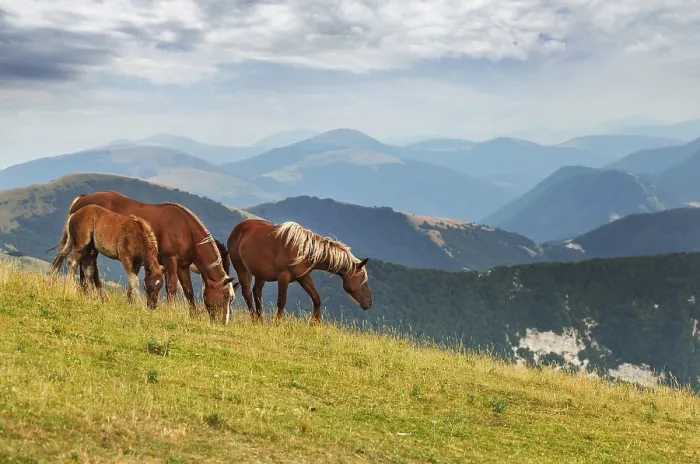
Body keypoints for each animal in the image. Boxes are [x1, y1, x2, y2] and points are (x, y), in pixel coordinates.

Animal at [49, 191, 238, 323]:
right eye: (226, 297)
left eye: (231, 299)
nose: (224, 322)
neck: (185, 230)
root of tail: (82, 200)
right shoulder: (170, 261)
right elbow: (172, 287)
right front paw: (170, 311)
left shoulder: (183, 266)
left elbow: (188, 290)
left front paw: (193, 315)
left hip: (90, 247)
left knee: (86, 268)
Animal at [227, 218, 372, 323]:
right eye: (362, 280)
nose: (369, 303)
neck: (303, 250)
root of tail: (238, 228)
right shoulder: (283, 277)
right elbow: (281, 302)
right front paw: (277, 324)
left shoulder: (303, 277)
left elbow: (316, 298)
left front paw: (315, 324)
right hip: (241, 267)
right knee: (247, 293)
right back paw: (254, 320)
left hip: (259, 273)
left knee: (256, 292)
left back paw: (260, 320)